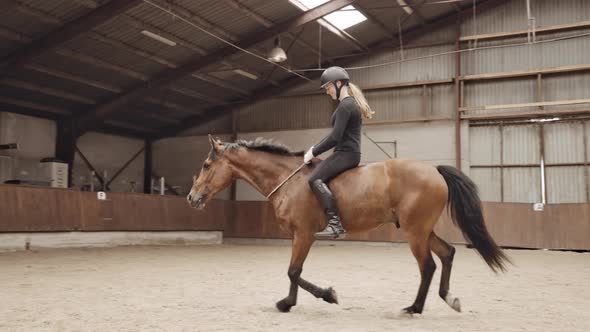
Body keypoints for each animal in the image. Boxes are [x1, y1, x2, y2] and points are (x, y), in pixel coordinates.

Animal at [187, 134, 512, 314]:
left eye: (206, 165)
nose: (191, 198)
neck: (289, 180)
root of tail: (434, 170)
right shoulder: (296, 235)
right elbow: (293, 272)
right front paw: (289, 302)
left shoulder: (305, 234)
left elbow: (293, 271)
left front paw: (325, 296)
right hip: (420, 229)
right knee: (447, 253)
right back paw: (449, 299)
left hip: (415, 232)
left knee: (428, 266)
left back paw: (414, 308)